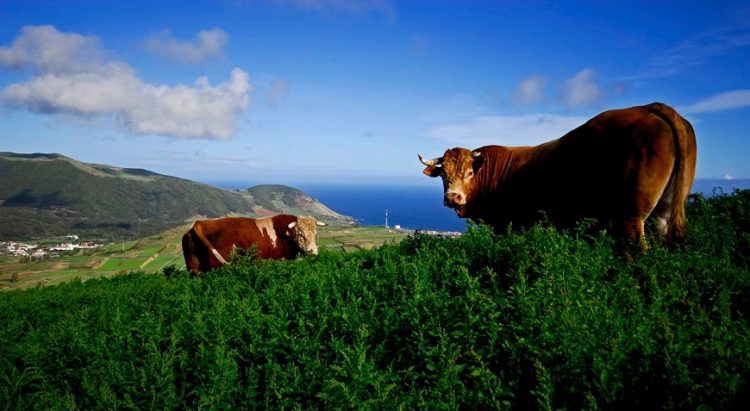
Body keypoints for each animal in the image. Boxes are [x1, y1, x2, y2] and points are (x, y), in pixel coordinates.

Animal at [424, 102, 700, 254]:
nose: (452, 197)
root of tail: (650, 107)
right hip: (665, 210)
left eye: (470, 172)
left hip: (631, 214)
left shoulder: (506, 225)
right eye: (443, 175)